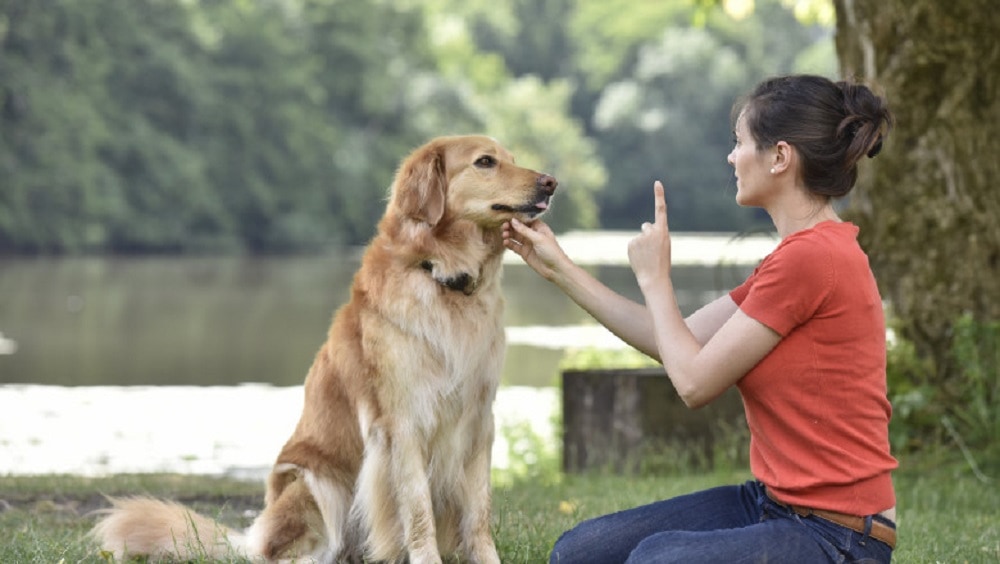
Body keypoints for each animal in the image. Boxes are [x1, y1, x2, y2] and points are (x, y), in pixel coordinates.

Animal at [91, 134, 560, 560]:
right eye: (485, 162)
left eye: (510, 158)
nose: (551, 182)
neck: (441, 277)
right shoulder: (403, 424)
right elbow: (418, 512)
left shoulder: (478, 422)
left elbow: (478, 516)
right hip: (314, 484)